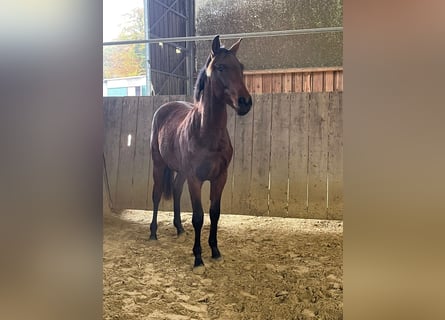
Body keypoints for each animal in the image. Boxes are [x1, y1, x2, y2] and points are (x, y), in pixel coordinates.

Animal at [149, 36, 251, 274]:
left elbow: (214, 213)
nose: (245, 102)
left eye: (241, 67)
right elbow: (198, 217)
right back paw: (153, 232)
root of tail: (164, 109)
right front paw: (198, 258)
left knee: (176, 191)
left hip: (181, 172)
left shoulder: (219, 177)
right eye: (221, 67)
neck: (207, 132)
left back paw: (179, 229)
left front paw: (215, 251)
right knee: (156, 195)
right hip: (159, 165)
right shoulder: (195, 179)